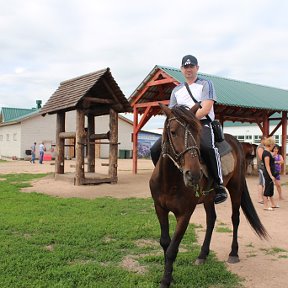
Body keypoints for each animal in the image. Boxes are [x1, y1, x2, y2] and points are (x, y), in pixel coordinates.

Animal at [150, 104, 268, 288]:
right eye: (173, 132)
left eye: (197, 132)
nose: (194, 175)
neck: (170, 180)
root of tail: (237, 142)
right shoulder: (159, 208)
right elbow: (165, 243)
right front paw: (170, 276)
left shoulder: (185, 214)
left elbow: (172, 248)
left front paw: (166, 281)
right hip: (209, 197)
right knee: (211, 219)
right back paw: (202, 255)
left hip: (236, 188)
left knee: (235, 218)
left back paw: (233, 253)